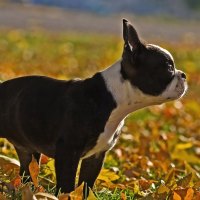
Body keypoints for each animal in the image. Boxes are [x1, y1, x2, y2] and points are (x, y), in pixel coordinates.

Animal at [0, 19, 188, 195]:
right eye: (168, 67)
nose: (184, 75)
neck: (111, 98)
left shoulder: (96, 157)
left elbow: (86, 186)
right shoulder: (68, 152)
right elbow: (66, 186)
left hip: (28, 151)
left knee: (28, 172)